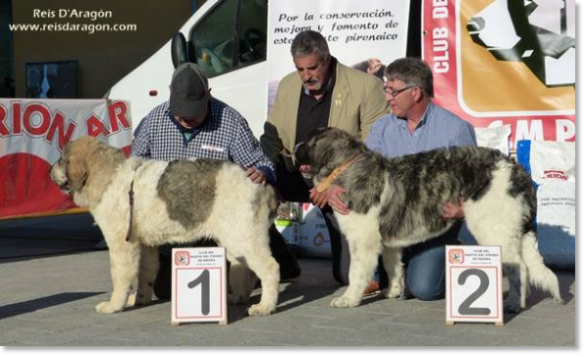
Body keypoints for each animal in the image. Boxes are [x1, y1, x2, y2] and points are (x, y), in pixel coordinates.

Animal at [50, 136, 278, 314]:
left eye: (62, 159)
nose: (50, 171)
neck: (110, 175)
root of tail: (262, 185)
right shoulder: (144, 245)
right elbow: (146, 273)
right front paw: (139, 299)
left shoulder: (121, 244)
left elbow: (120, 275)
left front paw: (114, 305)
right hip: (235, 239)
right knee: (245, 269)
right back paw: (236, 297)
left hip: (242, 236)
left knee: (270, 267)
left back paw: (264, 307)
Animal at [296, 128, 560, 312]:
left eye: (308, 142)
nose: (294, 146)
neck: (344, 167)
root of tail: (516, 169)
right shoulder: (387, 242)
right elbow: (393, 266)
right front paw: (392, 291)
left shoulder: (363, 241)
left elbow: (356, 273)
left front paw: (348, 299)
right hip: (512, 230)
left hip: (494, 228)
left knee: (519, 268)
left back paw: (513, 303)